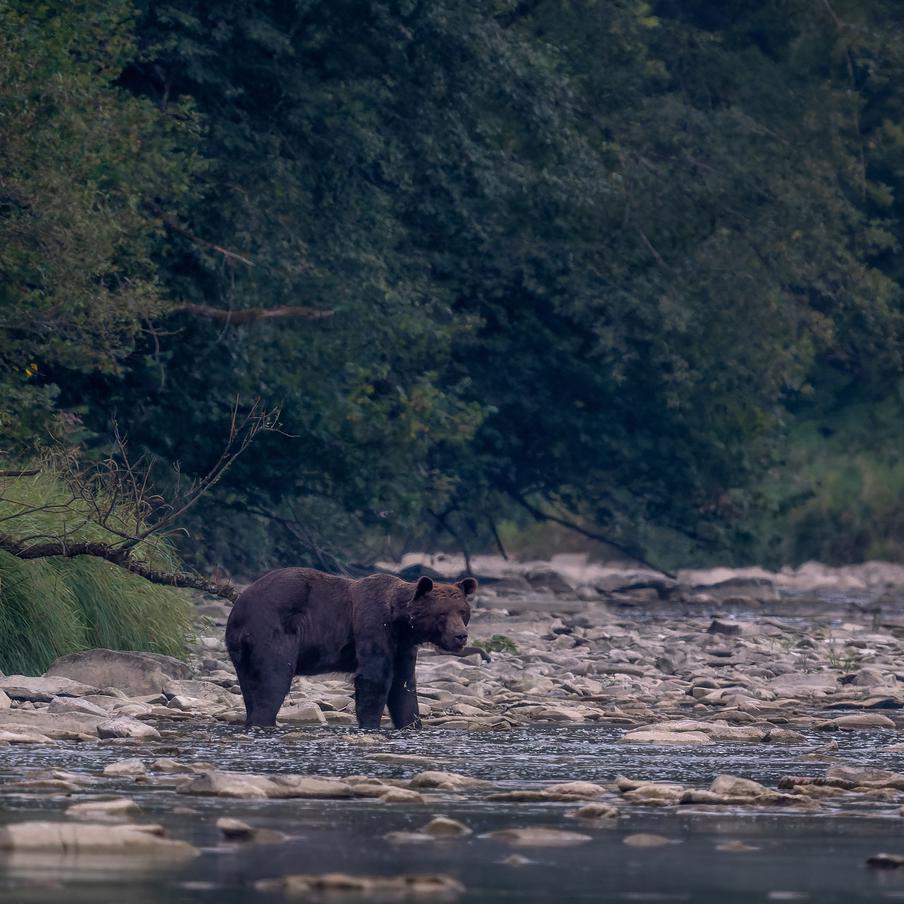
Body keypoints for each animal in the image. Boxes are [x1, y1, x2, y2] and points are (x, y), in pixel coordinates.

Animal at [225, 567, 478, 730]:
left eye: (463, 611)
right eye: (442, 613)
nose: (460, 636)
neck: (400, 621)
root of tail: (240, 607)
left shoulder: (403, 646)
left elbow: (404, 686)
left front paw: (411, 723)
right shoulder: (373, 626)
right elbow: (375, 679)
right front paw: (371, 724)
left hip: (242, 652)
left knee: (250, 686)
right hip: (273, 630)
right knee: (274, 679)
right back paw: (264, 721)